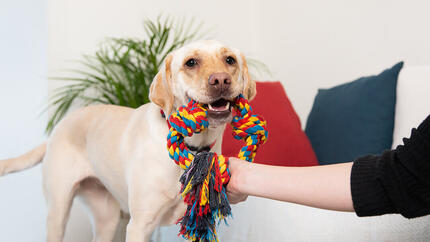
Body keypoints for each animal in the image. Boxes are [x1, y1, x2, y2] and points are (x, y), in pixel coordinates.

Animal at [0, 40, 255, 242]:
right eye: (191, 62)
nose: (221, 80)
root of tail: (58, 129)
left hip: (107, 218)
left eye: (230, 60)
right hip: (58, 211)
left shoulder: (200, 223)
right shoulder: (139, 226)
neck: (193, 147)